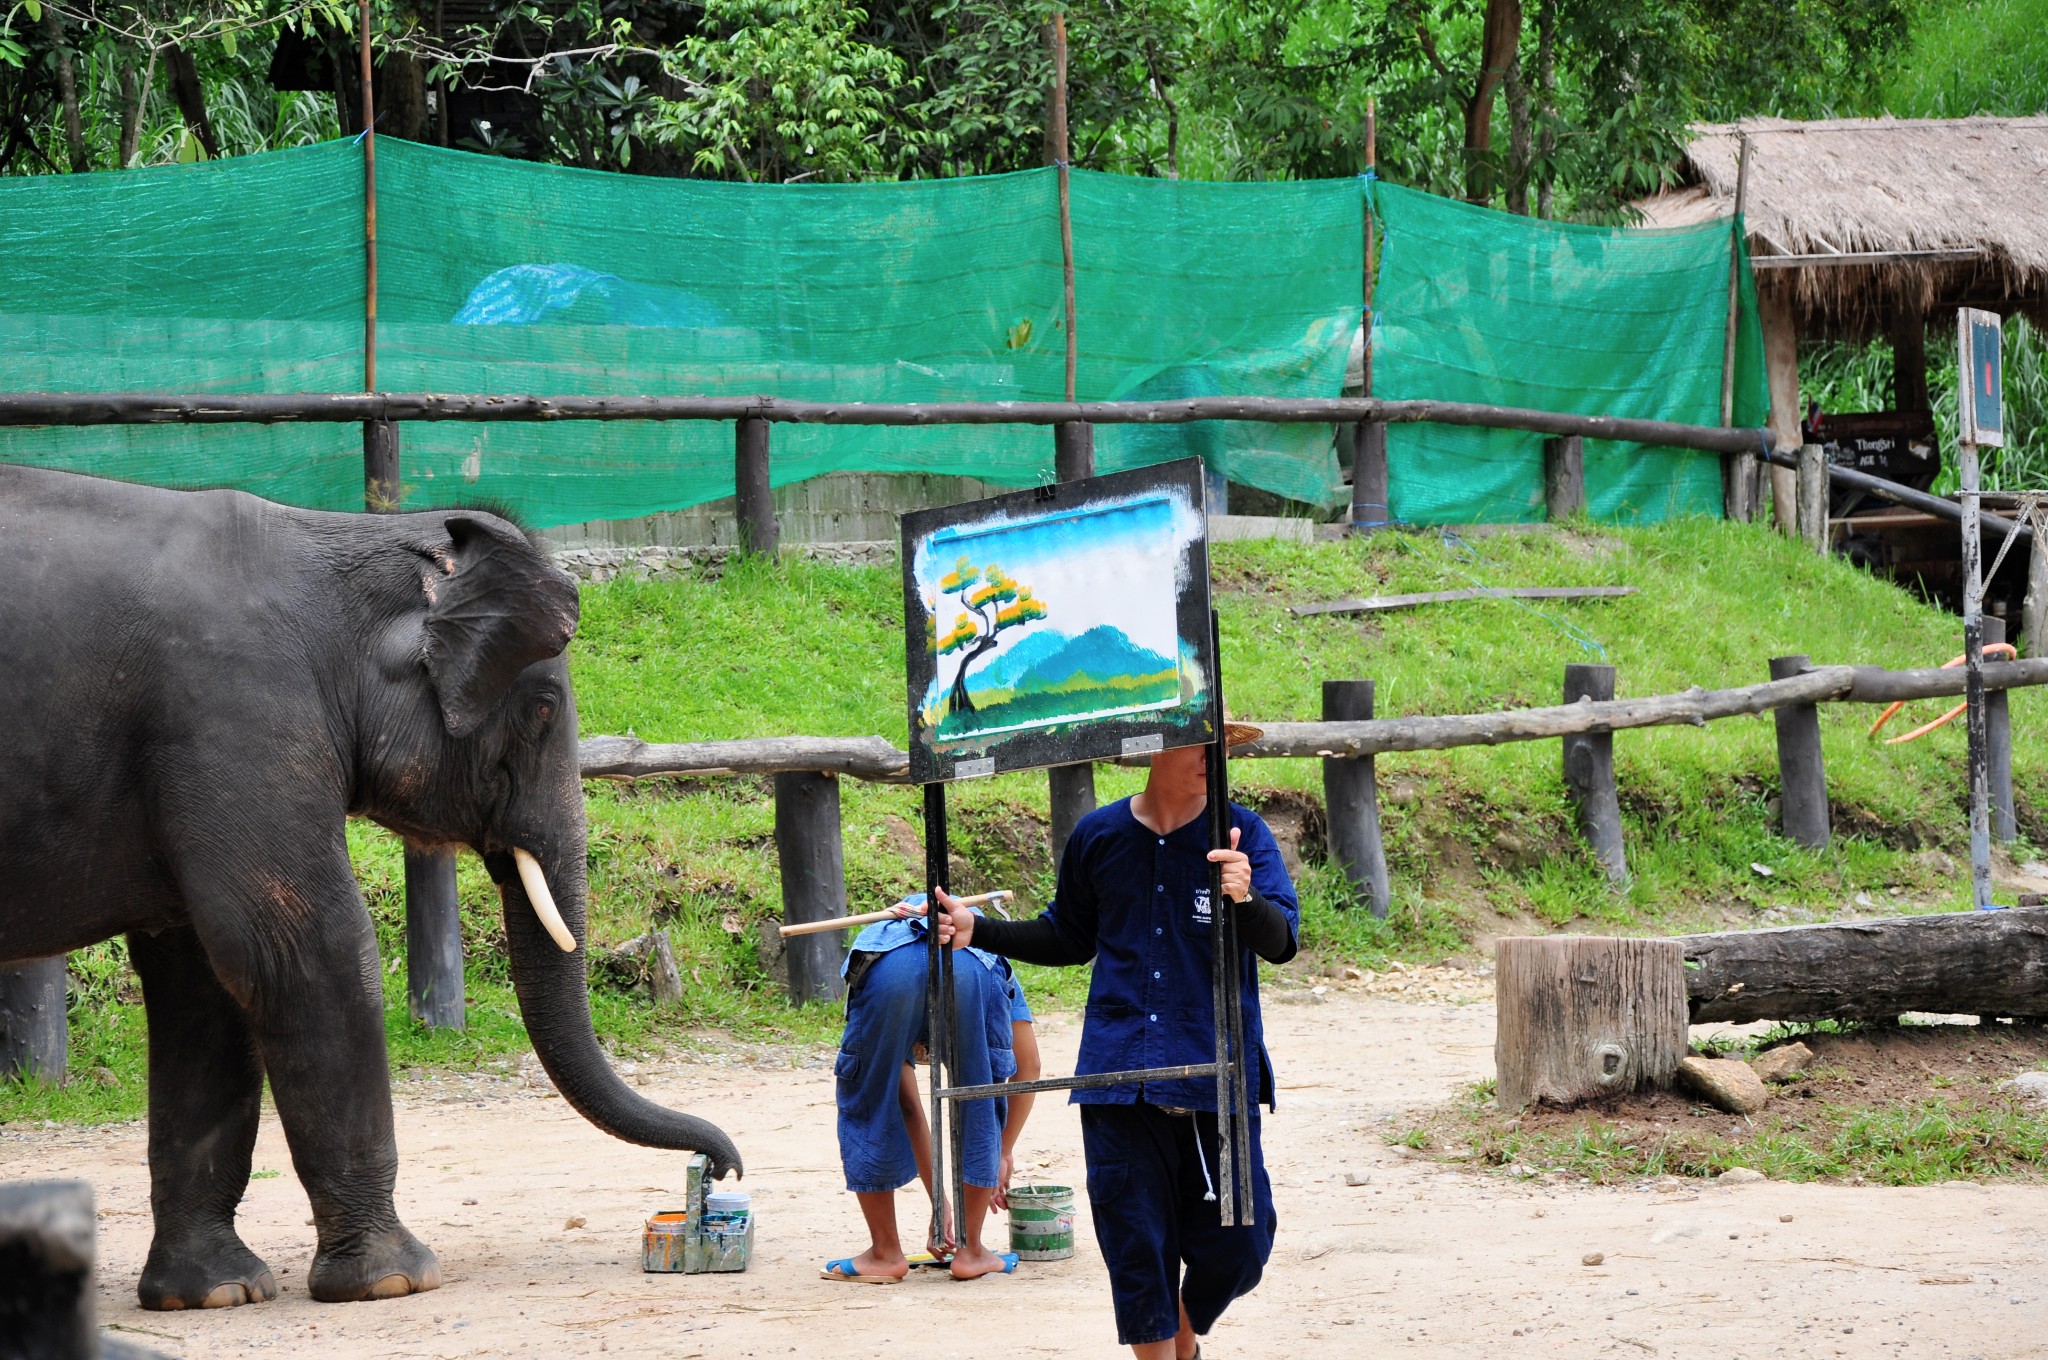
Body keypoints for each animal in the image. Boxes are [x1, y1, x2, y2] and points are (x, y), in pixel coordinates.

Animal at [0, 464, 737, 1310]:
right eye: (544, 708)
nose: (721, 1168)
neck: (345, 536)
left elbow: (204, 982)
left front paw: (213, 1293)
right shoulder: (237, 714)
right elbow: (297, 948)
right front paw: (395, 1280)